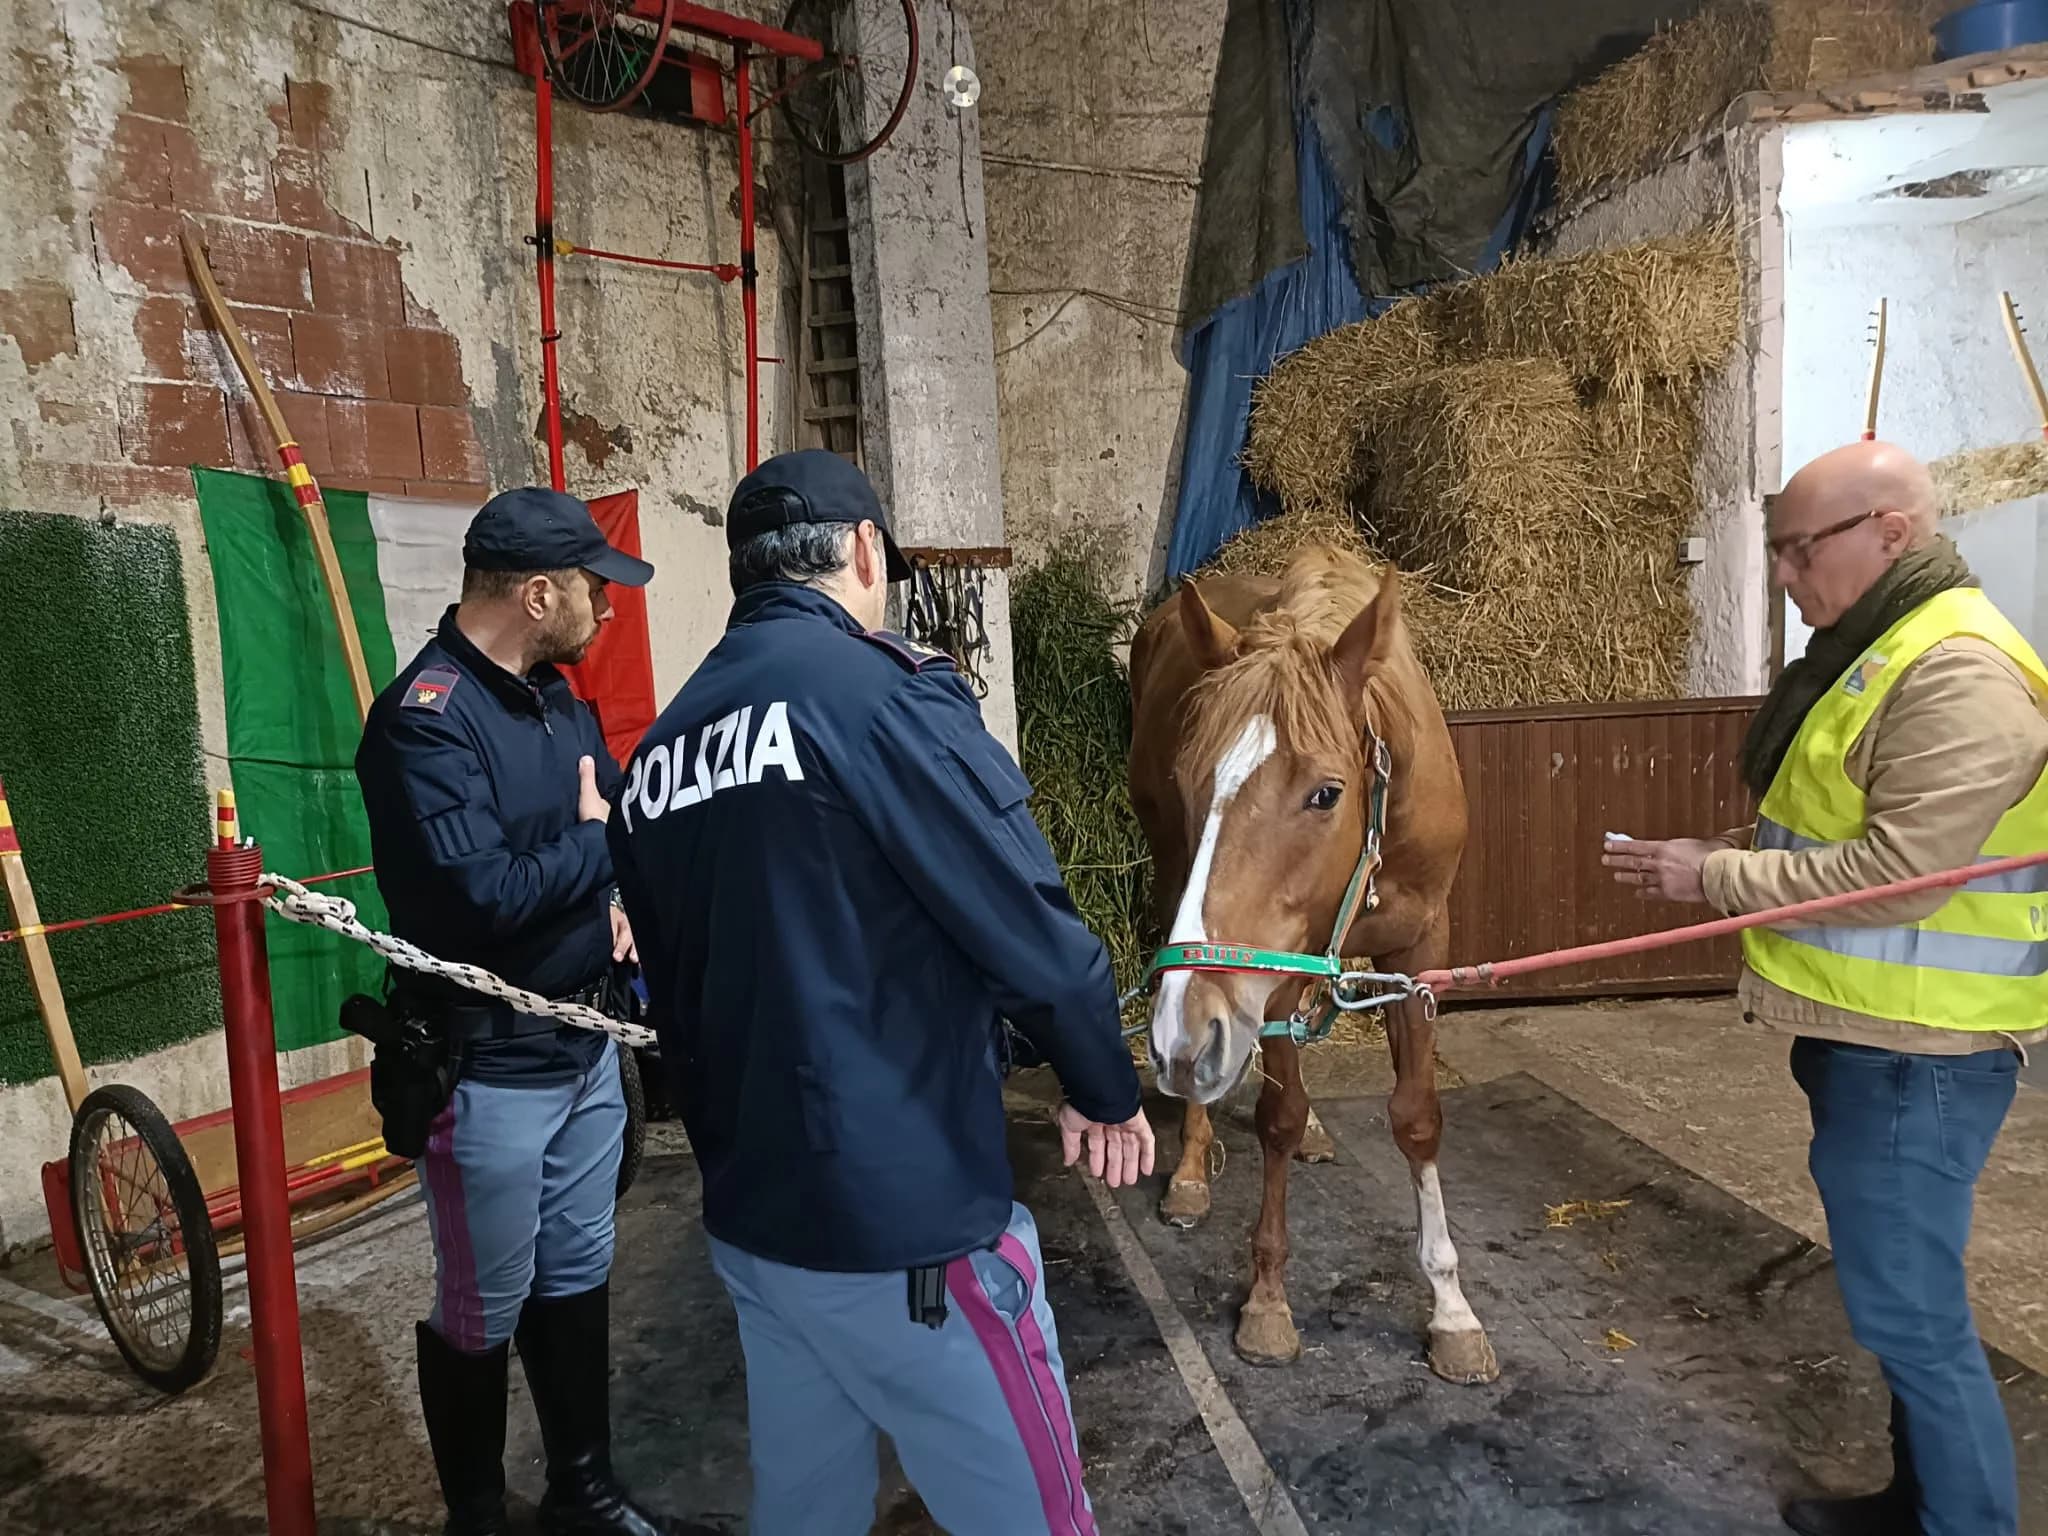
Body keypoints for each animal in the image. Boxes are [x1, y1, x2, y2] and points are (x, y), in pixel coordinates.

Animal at [1125, 544, 1498, 1384]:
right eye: (1190, 781)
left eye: (1326, 792)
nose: (1182, 1040)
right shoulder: (1266, 969)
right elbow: (1278, 1114)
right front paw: (1267, 1301)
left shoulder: (1420, 951)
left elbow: (1417, 1117)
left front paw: (1452, 1310)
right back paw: (1190, 1169)